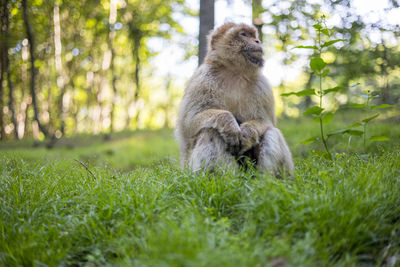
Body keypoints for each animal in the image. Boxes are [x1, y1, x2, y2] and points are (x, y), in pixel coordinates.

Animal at [175, 23, 294, 177]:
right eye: (244, 34)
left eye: (253, 36)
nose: (258, 41)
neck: (235, 72)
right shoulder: (202, 80)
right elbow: (187, 125)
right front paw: (228, 123)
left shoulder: (262, 86)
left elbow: (265, 122)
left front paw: (247, 133)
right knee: (210, 131)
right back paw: (223, 178)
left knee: (271, 132)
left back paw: (267, 180)